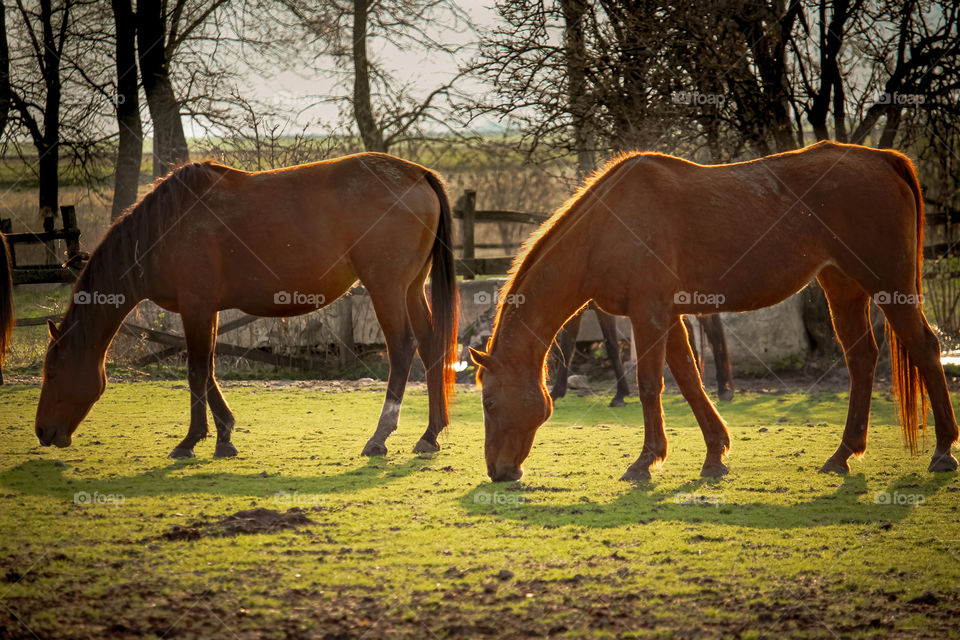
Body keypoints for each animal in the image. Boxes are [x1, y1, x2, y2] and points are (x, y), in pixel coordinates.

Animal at [33, 152, 462, 458]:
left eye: (51, 374)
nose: (42, 432)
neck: (164, 229)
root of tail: (416, 174)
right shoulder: (206, 310)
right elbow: (208, 371)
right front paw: (223, 436)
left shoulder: (195, 307)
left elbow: (196, 371)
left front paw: (190, 441)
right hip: (410, 289)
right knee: (430, 345)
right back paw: (430, 434)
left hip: (386, 288)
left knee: (402, 350)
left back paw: (379, 437)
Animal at [472, 140, 960, 480]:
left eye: (490, 402)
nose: (498, 472)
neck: (607, 226)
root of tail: (883, 159)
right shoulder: (667, 316)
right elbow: (689, 380)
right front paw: (714, 453)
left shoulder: (648, 313)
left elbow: (650, 384)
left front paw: (644, 462)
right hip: (843, 286)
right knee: (862, 359)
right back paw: (842, 455)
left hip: (888, 285)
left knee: (924, 347)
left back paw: (942, 451)